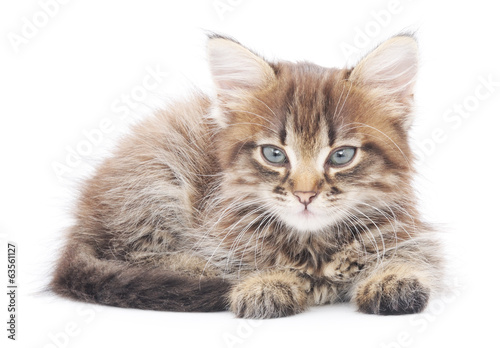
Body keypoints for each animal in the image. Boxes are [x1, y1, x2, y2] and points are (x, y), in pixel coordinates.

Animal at [50, 34, 442, 320]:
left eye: (342, 156)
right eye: (274, 154)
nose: (304, 194)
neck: (312, 245)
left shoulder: (406, 228)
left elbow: (410, 255)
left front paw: (394, 276)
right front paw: (265, 281)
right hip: (155, 177)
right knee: (125, 251)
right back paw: (194, 270)